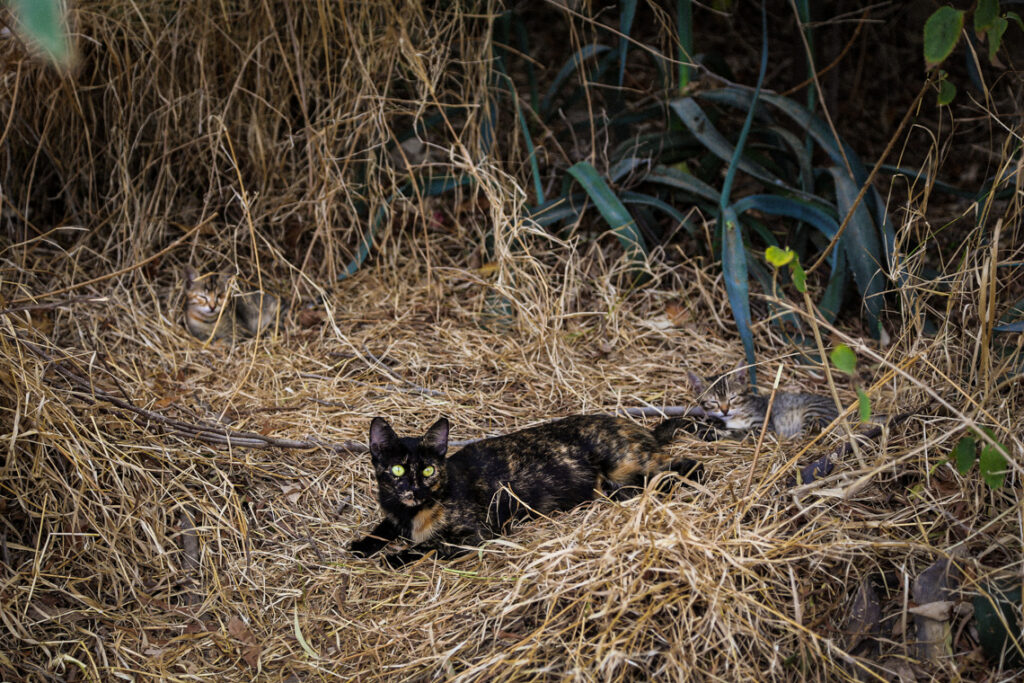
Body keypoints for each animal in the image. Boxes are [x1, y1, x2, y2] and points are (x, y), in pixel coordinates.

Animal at [352, 411, 712, 565]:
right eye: (397, 469)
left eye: (428, 469)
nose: (413, 488)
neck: (410, 513)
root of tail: (640, 427)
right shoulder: (392, 513)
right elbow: (382, 527)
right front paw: (360, 545)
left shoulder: (476, 534)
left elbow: (430, 545)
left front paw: (394, 557)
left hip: (626, 463)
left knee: (690, 467)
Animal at [688, 368, 839, 438]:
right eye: (714, 401)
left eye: (732, 398)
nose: (725, 410)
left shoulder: (763, 426)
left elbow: (744, 432)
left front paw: (716, 433)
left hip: (815, 410)